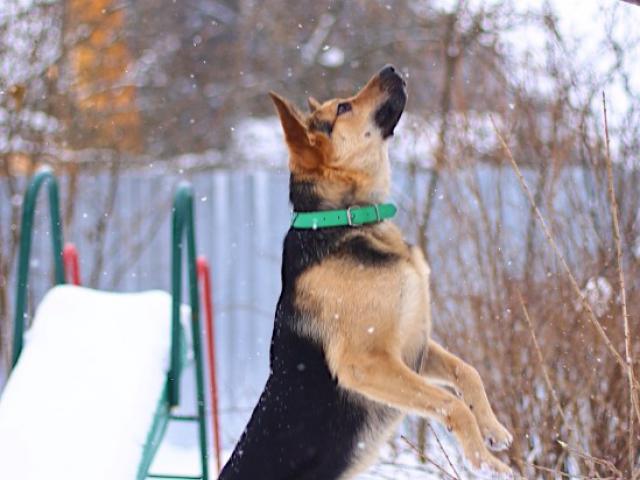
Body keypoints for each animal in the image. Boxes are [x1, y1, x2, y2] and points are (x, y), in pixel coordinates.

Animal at [218, 64, 512, 480]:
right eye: (344, 107)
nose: (390, 68)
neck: (346, 219)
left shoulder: (413, 342)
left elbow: (467, 372)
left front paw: (493, 430)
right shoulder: (368, 361)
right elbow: (449, 403)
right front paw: (487, 464)